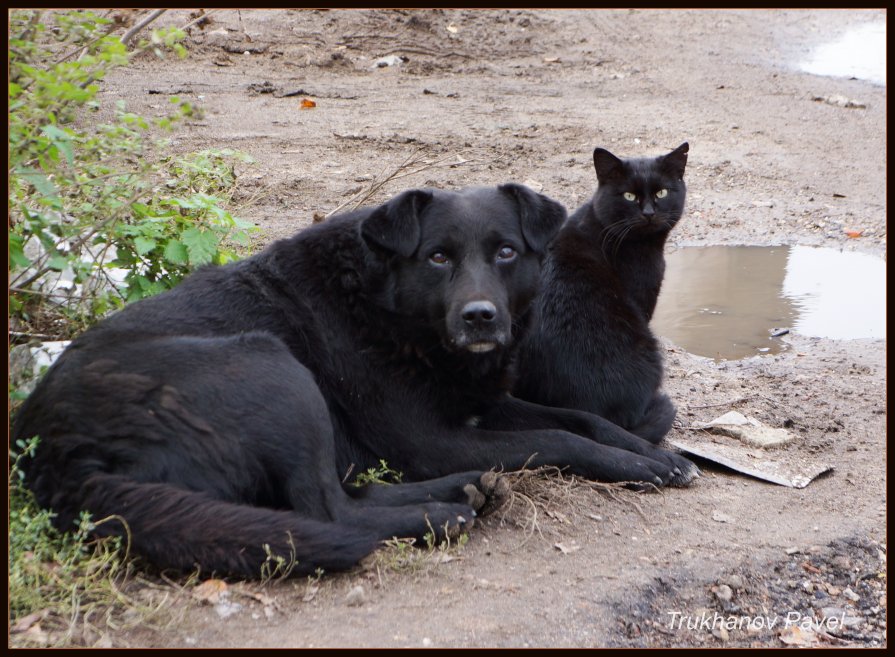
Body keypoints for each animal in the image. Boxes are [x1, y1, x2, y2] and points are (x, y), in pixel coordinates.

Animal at [14, 182, 696, 576]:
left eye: (505, 252)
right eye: (438, 257)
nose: (480, 317)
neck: (391, 310)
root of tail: (51, 453)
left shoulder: (483, 405)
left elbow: (582, 418)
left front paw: (654, 455)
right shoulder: (432, 439)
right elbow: (561, 439)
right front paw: (636, 465)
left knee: (333, 498)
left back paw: (465, 490)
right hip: (272, 367)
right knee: (328, 509)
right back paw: (439, 513)